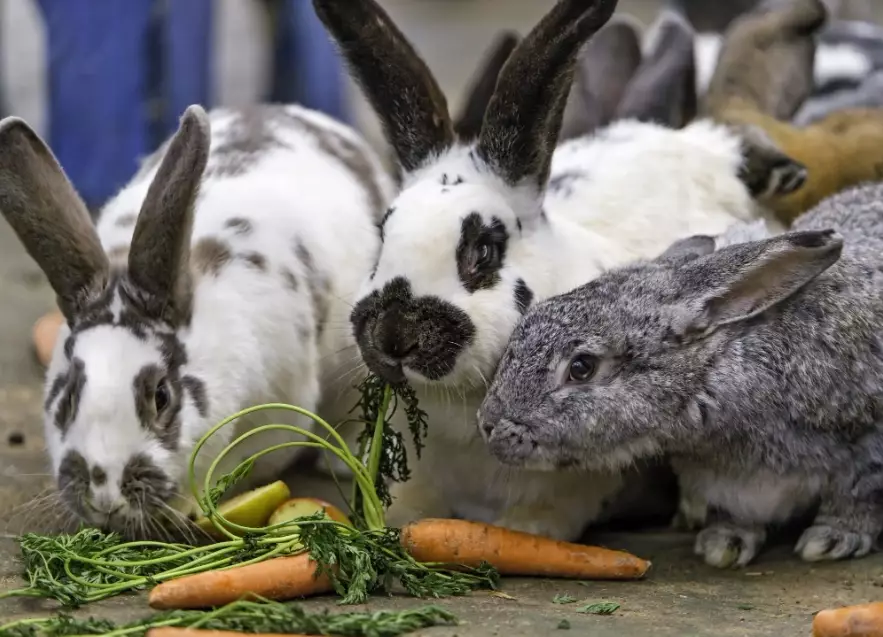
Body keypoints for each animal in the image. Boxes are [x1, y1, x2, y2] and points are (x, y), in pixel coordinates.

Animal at [478, 179, 883, 568]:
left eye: (581, 368)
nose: (488, 424)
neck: (715, 371)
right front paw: (723, 544)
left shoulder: (864, 450)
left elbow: (855, 498)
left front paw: (832, 539)